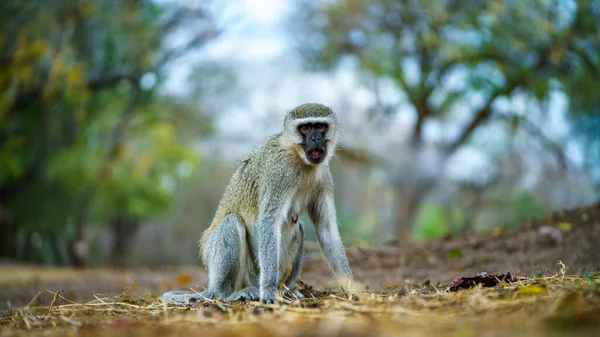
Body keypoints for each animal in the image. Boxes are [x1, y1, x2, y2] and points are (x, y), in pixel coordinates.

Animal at [162, 102, 354, 302]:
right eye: (305, 128)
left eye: (321, 127)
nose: (315, 138)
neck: (299, 159)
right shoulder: (280, 172)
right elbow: (269, 222)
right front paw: (268, 292)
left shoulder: (324, 176)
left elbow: (325, 227)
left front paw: (352, 288)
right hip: (226, 265)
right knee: (231, 223)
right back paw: (230, 294)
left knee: (298, 228)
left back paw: (287, 289)